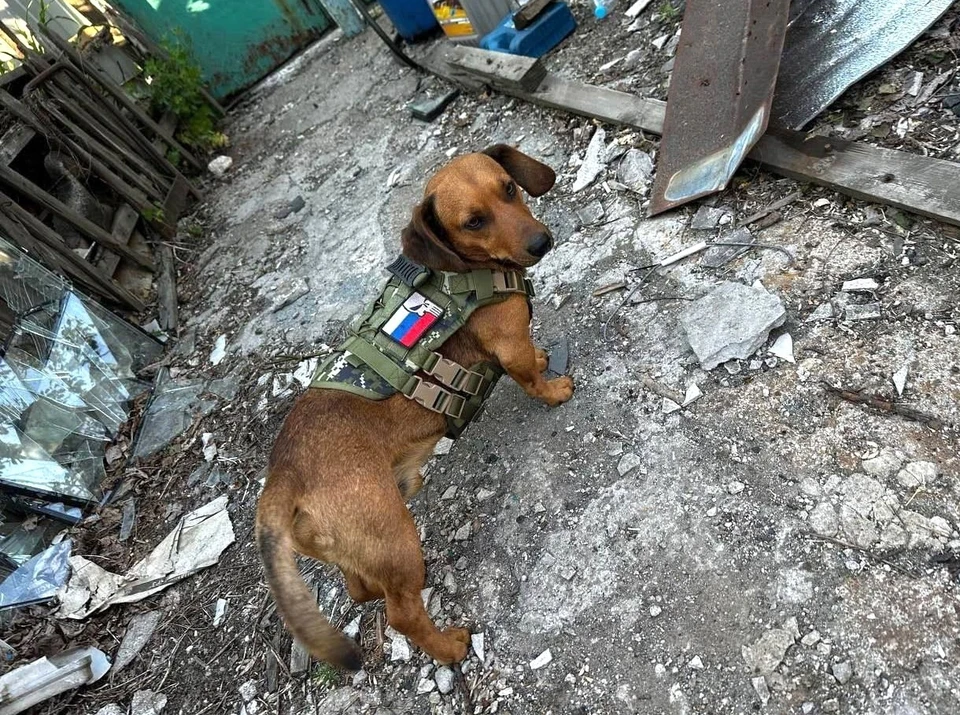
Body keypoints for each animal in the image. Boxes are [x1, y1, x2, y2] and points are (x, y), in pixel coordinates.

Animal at [255, 145, 572, 672]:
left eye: (509, 187)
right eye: (473, 222)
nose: (541, 242)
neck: (466, 271)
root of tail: (283, 475)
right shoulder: (512, 348)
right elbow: (530, 378)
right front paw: (555, 389)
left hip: (362, 553)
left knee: (360, 589)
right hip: (399, 539)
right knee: (401, 613)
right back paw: (450, 647)